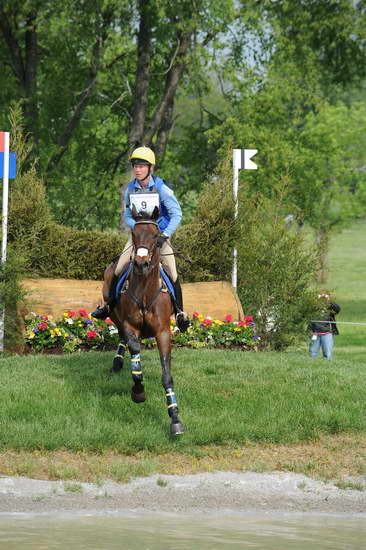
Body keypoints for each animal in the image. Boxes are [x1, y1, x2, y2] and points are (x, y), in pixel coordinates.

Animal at [102, 205, 183, 438]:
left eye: (156, 236)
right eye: (133, 233)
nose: (141, 263)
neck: (146, 290)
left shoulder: (163, 332)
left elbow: (166, 374)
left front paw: (175, 418)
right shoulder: (131, 326)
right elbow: (135, 361)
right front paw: (138, 393)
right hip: (113, 314)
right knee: (122, 336)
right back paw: (117, 363)